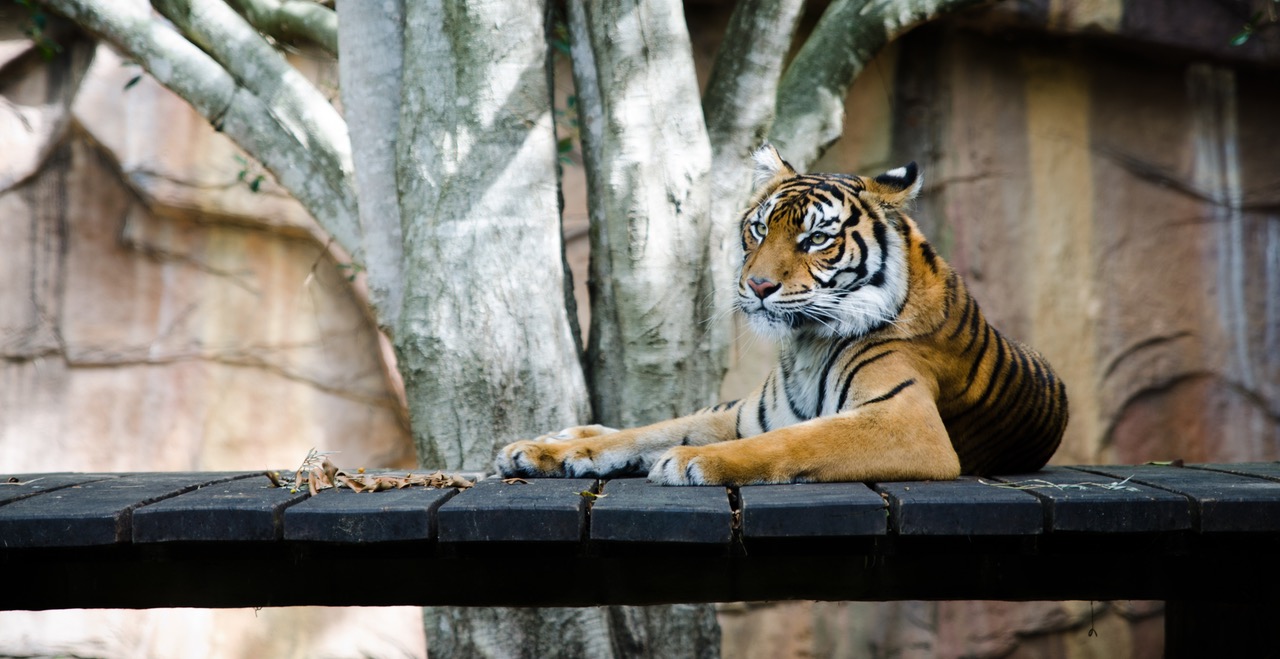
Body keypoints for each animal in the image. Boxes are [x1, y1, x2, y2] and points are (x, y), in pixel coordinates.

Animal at [494, 145, 1064, 483]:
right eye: (759, 229)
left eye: (815, 239)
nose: (759, 285)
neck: (807, 344)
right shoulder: (744, 415)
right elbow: (649, 431)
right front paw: (546, 453)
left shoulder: (908, 422)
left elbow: (793, 439)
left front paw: (692, 460)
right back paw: (559, 439)